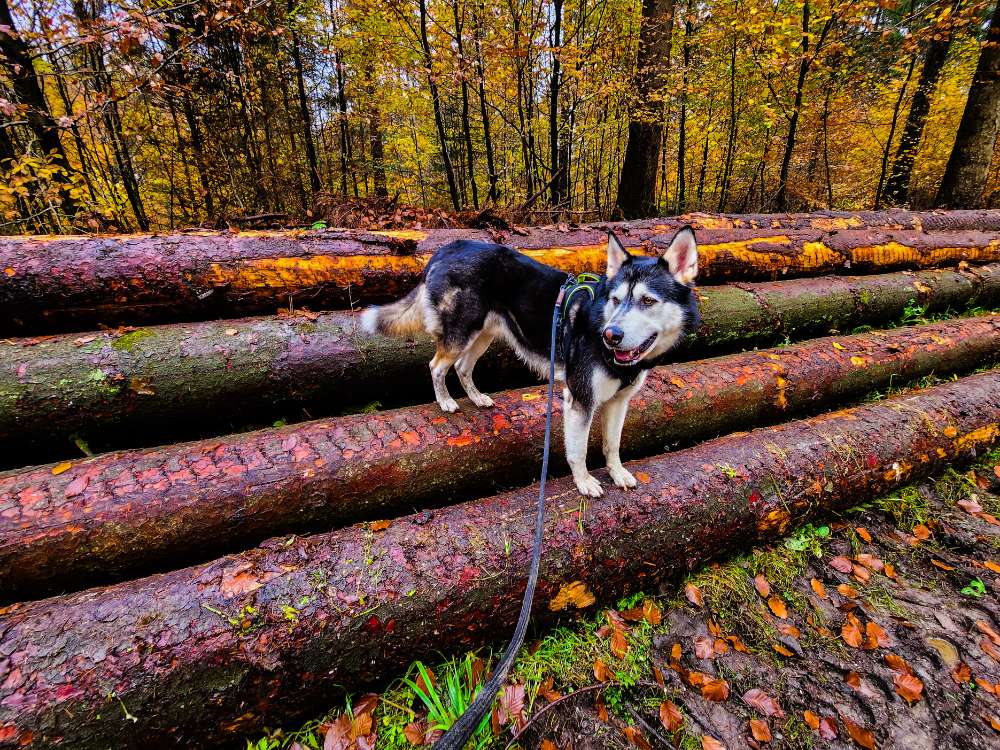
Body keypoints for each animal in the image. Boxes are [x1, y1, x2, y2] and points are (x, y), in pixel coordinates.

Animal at [364, 229, 700, 500]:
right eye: (615, 300)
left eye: (648, 301)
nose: (611, 335)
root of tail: (447, 249)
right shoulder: (580, 400)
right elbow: (578, 450)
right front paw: (584, 482)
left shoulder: (619, 402)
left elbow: (612, 444)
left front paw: (617, 473)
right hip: (462, 333)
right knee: (436, 365)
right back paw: (445, 401)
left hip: (484, 335)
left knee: (461, 367)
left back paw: (477, 398)